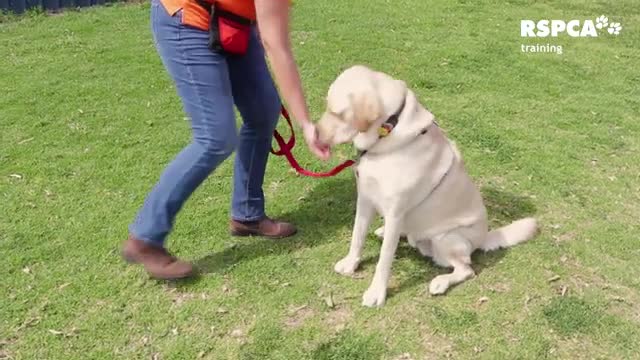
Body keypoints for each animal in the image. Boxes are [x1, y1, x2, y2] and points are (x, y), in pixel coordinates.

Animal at [318, 65, 536, 306]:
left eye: (337, 113)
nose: (315, 133)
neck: (389, 132)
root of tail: (484, 237)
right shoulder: (365, 197)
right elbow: (357, 236)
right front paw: (350, 263)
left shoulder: (395, 212)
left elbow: (384, 260)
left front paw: (376, 293)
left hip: (446, 239)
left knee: (466, 269)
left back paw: (441, 282)